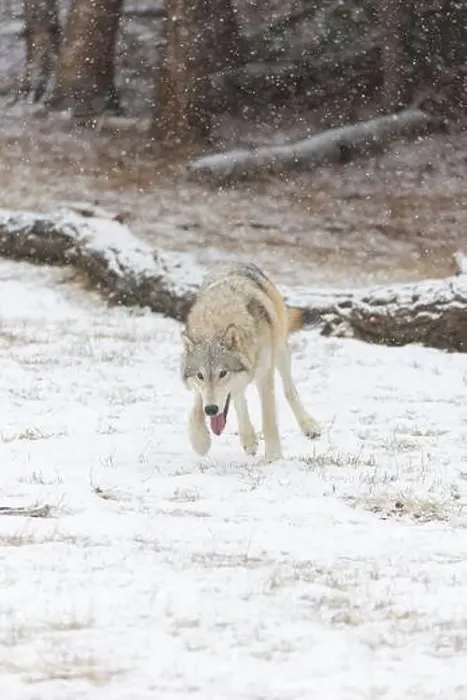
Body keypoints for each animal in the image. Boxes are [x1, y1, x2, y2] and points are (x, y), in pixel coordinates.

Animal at [180, 262, 321, 462]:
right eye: (200, 375)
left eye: (223, 373)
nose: (212, 410)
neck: (216, 323)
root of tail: (236, 262)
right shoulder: (202, 391)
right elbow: (195, 412)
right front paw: (200, 442)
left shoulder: (265, 375)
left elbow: (269, 419)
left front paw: (274, 458)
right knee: (239, 398)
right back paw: (248, 439)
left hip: (280, 350)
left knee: (290, 391)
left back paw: (309, 425)